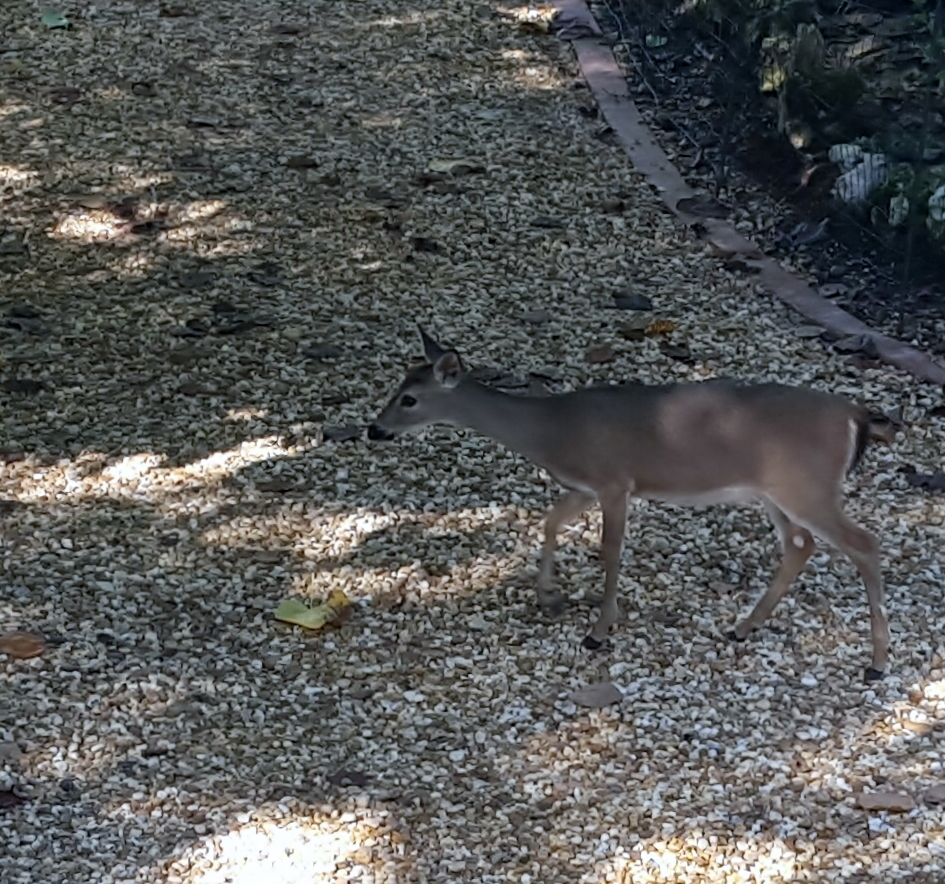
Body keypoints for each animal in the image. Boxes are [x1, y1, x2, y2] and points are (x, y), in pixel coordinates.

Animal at [366, 328, 896, 680]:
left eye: (409, 399)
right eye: (396, 389)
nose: (373, 429)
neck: (550, 431)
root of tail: (855, 415)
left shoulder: (614, 481)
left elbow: (610, 551)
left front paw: (598, 631)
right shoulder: (584, 485)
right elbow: (549, 522)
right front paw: (550, 597)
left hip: (808, 485)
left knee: (865, 542)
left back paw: (876, 663)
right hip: (776, 492)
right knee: (801, 544)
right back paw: (741, 628)